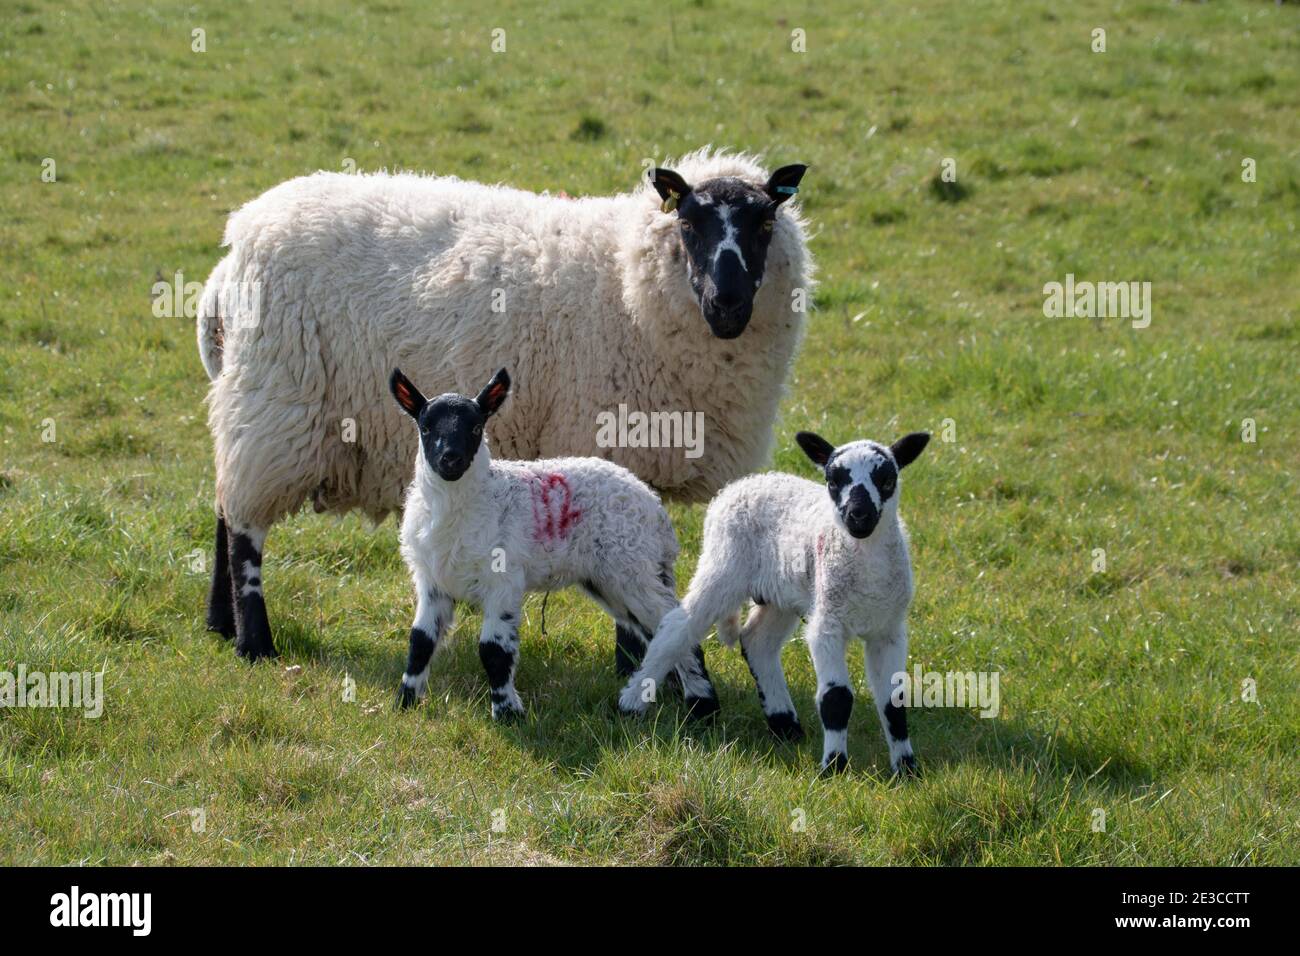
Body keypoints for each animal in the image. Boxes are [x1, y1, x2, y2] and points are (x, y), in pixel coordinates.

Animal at [197, 148, 813, 662]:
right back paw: (254, 643)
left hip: (250, 398)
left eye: (765, 224)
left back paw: (218, 624)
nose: (727, 304)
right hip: (276, 403)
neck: (626, 284)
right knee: (245, 527)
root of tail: (233, 252)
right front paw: (633, 665)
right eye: (687, 222)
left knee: (224, 505)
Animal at [389, 366, 720, 720]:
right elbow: (420, 642)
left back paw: (703, 709)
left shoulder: (503, 578)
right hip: (609, 578)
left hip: (633, 566)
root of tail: (656, 510)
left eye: (476, 427)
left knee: (676, 627)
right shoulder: (432, 581)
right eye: (425, 427)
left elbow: (494, 650)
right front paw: (404, 703)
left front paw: (508, 714)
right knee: (659, 633)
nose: (450, 459)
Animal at [618, 430, 932, 775]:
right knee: (676, 629)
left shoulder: (889, 630)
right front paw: (833, 768)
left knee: (758, 642)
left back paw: (785, 725)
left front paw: (907, 770)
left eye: (887, 479)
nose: (858, 516)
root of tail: (745, 482)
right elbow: (836, 698)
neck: (867, 564)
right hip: (724, 564)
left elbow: (894, 701)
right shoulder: (828, 625)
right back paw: (632, 702)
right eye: (832, 480)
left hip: (782, 595)